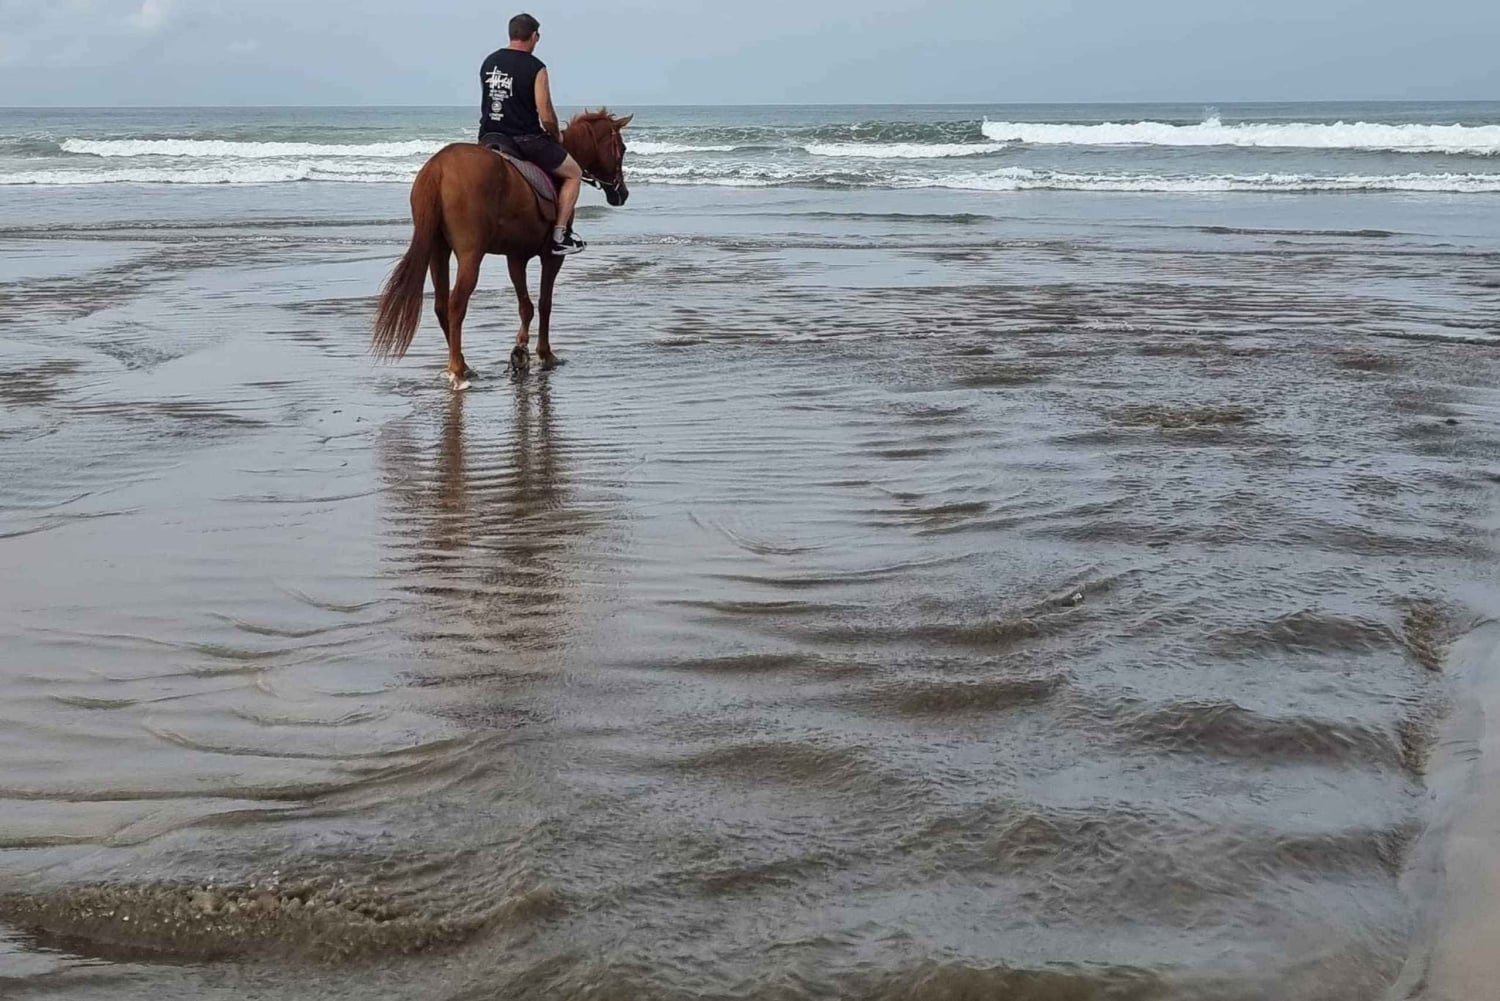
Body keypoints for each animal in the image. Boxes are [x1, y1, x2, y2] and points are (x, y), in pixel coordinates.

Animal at [372, 110, 633, 390]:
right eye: (623, 148)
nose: (622, 194)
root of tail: (439, 167)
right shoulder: (550, 258)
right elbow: (544, 303)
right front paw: (545, 354)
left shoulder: (515, 256)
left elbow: (525, 305)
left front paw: (521, 350)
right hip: (470, 255)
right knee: (456, 304)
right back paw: (457, 371)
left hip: (437, 250)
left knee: (442, 306)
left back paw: (462, 364)